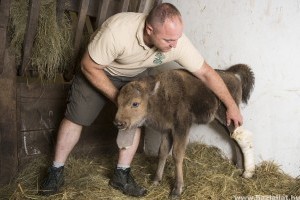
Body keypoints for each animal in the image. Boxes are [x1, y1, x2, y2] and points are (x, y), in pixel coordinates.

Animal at [113, 64, 254, 198]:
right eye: (118, 102)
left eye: (135, 103)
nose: (119, 123)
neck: (159, 95)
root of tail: (232, 75)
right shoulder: (167, 130)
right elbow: (163, 151)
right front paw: (156, 180)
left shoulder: (181, 128)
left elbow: (177, 154)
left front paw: (177, 190)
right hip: (221, 121)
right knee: (234, 139)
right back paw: (238, 167)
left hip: (227, 116)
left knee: (242, 138)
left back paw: (247, 173)